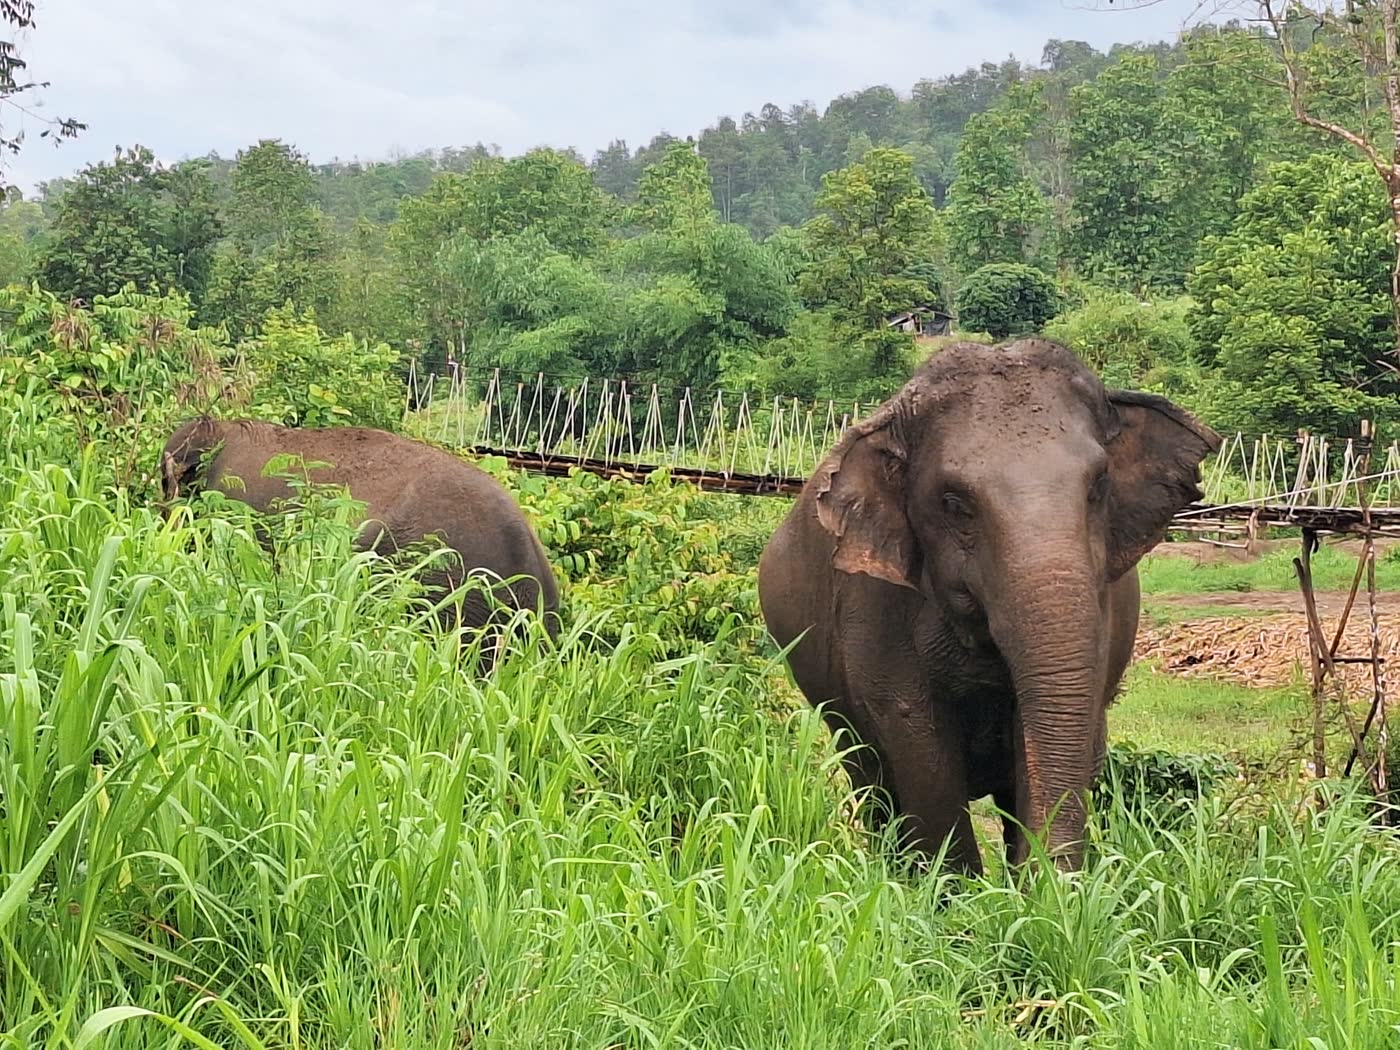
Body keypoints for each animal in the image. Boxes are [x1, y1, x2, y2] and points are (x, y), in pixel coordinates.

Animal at [756, 337, 1220, 876]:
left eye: (1100, 484)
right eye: (954, 503)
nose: (1057, 881)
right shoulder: (873, 605)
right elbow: (919, 744)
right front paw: (953, 890)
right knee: (870, 781)